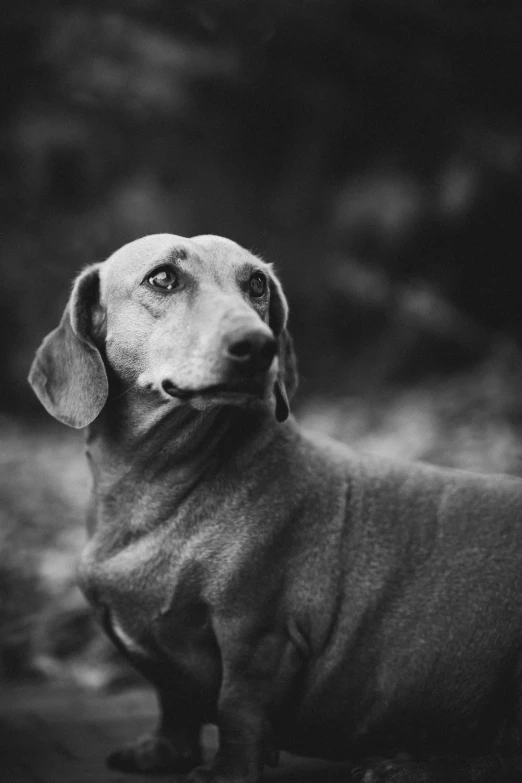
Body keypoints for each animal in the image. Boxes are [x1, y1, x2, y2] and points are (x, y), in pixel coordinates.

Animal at [29, 234, 522, 783]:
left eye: (257, 283)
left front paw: (228, 770)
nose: (259, 345)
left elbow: (238, 709)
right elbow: (173, 701)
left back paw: (408, 768)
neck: (159, 491)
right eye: (162, 278)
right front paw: (164, 750)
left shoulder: (257, 634)